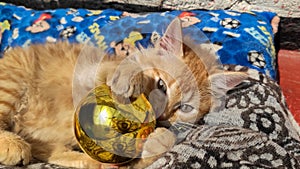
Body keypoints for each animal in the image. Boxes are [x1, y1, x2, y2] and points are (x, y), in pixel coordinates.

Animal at [0, 17, 246, 168]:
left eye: (184, 107)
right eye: (161, 85)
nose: (162, 116)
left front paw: (158, 139)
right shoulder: (88, 72)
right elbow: (118, 70)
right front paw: (128, 79)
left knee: (46, 148)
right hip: (12, 80)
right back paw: (13, 145)